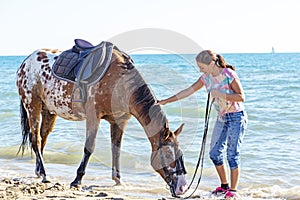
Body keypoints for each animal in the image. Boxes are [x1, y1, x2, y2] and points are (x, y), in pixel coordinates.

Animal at [15, 43, 188, 195]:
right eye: (168, 155)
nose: (182, 188)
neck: (120, 82)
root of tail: (25, 62)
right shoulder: (93, 117)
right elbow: (89, 148)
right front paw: (77, 180)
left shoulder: (119, 121)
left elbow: (116, 149)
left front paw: (118, 180)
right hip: (33, 106)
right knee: (36, 140)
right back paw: (45, 175)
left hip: (49, 111)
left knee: (42, 138)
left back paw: (39, 171)